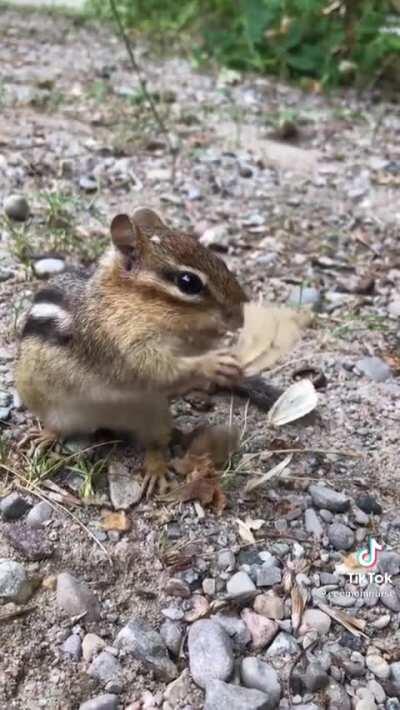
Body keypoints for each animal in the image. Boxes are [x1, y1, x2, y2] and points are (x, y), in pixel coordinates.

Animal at [15, 207, 250, 497]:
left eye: (220, 261)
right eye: (188, 282)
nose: (242, 313)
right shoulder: (120, 345)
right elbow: (158, 370)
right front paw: (212, 364)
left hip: (155, 415)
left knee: (155, 444)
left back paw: (156, 470)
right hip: (49, 404)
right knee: (57, 427)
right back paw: (45, 436)